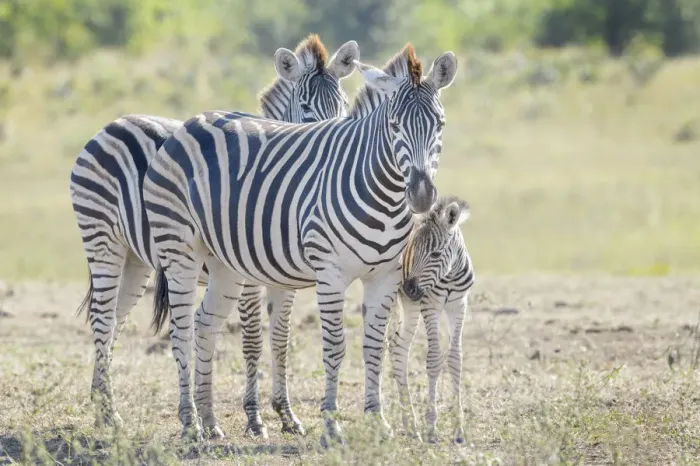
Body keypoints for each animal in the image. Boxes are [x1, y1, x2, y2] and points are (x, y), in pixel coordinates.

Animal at [69, 34, 359, 435]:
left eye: (343, 104)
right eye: (304, 107)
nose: (334, 143)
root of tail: (113, 123)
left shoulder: (285, 279)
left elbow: (280, 339)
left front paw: (286, 414)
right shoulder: (248, 277)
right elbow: (252, 339)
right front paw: (254, 417)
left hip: (134, 260)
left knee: (113, 320)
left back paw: (103, 410)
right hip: (102, 240)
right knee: (100, 317)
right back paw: (110, 413)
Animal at [143, 43, 459, 444]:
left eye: (440, 125)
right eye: (394, 125)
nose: (420, 195)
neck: (383, 195)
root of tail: (192, 121)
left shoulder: (384, 277)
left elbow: (374, 345)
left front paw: (378, 422)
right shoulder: (330, 274)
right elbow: (334, 347)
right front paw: (331, 425)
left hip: (224, 265)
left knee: (205, 323)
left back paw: (210, 421)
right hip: (179, 249)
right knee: (181, 329)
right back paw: (189, 423)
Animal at [391, 196, 474, 445]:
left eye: (436, 254)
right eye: (413, 249)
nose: (409, 287)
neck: (451, 274)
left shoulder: (459, 305)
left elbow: (455, 359)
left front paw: (458, 430)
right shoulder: (430, 305)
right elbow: (435, 359)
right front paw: (431, 429)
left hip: (410, 305)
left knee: (399, 347)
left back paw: (410, 426)